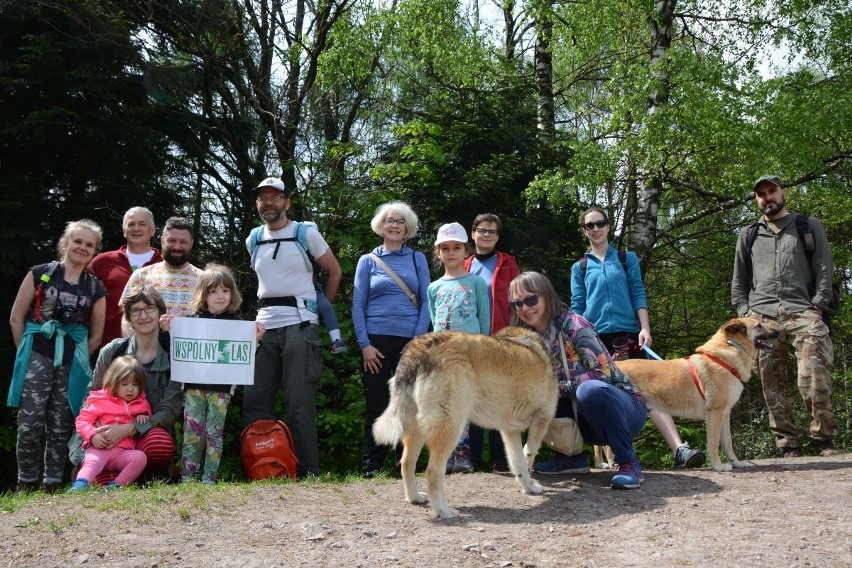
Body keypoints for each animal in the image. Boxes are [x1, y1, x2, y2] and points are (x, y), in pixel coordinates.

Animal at [620, 318, 780, 472]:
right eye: (759, 325)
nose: (779, 331)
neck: (726, 355)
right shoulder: (715, 414)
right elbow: (714, 445)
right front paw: (718, 467)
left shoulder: (725, 414)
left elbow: (728, 443)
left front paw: (736, 463)